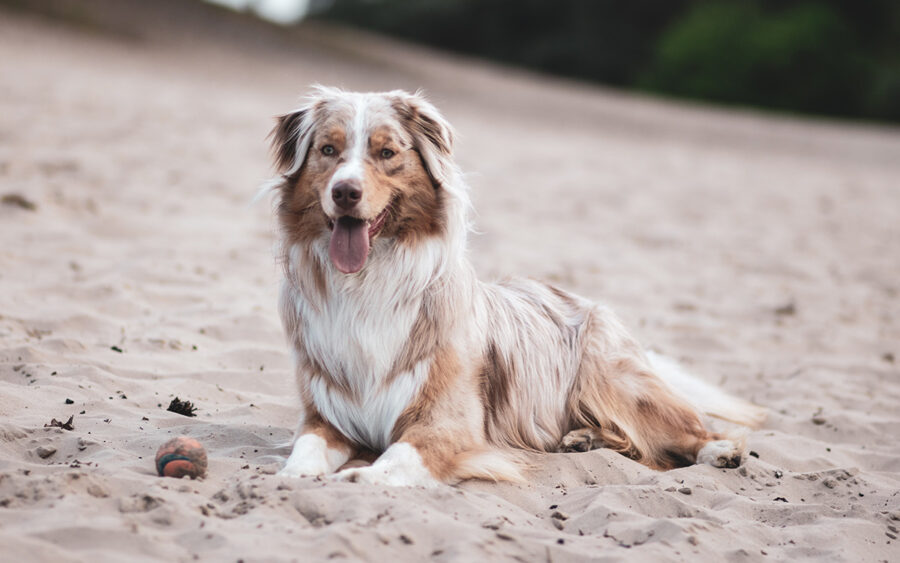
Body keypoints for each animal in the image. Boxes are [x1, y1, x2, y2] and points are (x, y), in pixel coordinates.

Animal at [268, 86, 768, 486]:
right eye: (328, 150)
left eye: (387, 153)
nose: (345, 192)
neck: (367, 281)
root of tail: (587, 302)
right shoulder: (325, 414)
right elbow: (306, 446)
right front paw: (296, 475)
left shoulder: (446, 421)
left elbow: (400, 454)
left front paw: (361, 476)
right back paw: (583, 439)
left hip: (614, 380)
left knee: (687, 431)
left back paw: (719, 451)